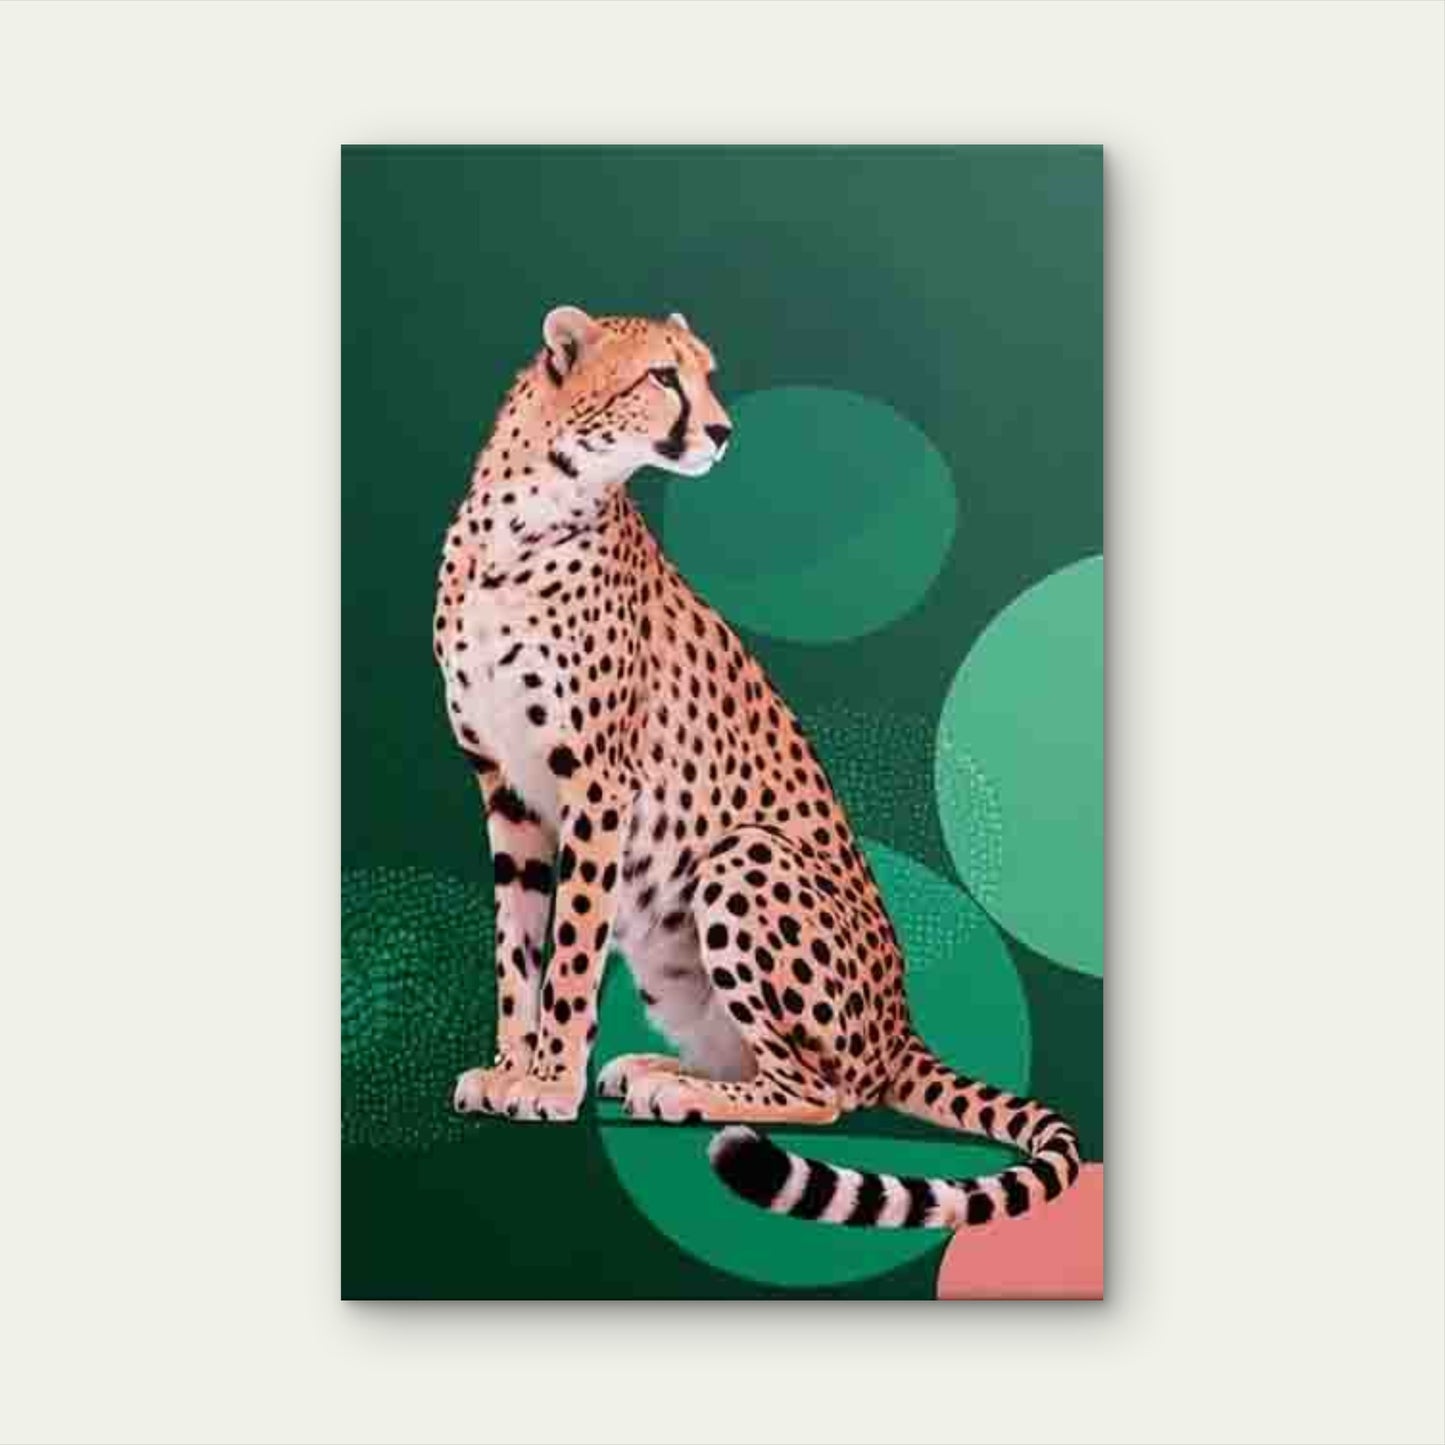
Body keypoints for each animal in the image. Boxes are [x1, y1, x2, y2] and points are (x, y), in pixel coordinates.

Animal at [434, 305, 1081, 1229]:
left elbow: (570, 948)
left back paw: (683, 1093)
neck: (529, 513)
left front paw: (550, 1080)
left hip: (744, 854)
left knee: (821, 1090)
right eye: (662, 376)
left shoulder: (596, 783)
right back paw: (660, 1070)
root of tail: (900, 1029)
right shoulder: (506, 788)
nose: (721, 431)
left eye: (707, 374)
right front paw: (512, 1067)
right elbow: (515, 950)